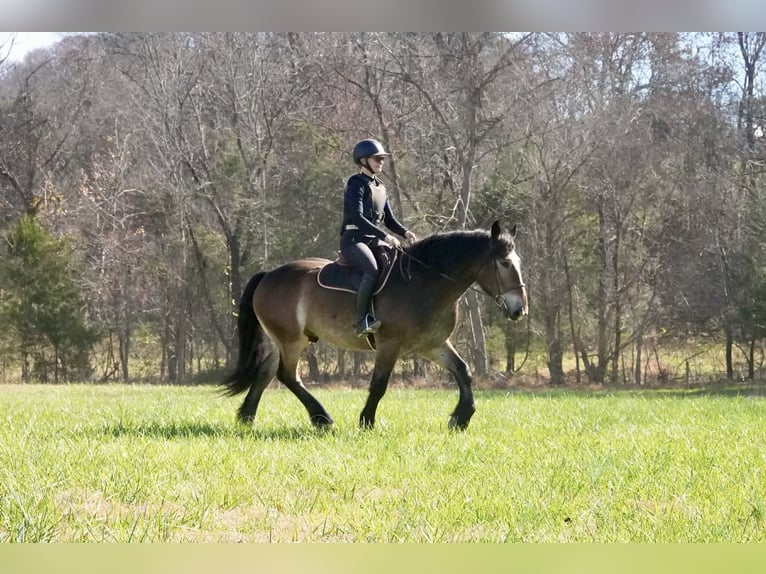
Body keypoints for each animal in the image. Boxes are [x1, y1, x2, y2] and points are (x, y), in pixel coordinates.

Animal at [222, 220, 527, 431]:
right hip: (291, 341)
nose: (520, 310)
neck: (424, 281)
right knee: (287, 376)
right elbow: (379, 384)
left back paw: (247, 417)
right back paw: (322, 418)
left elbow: (463, 372)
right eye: (504, 263)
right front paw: (366, 420)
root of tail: (267, 275)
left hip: (287, 340)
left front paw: (461, 417)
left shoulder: (432, 345)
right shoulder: (390, 344)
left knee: (266, 372)